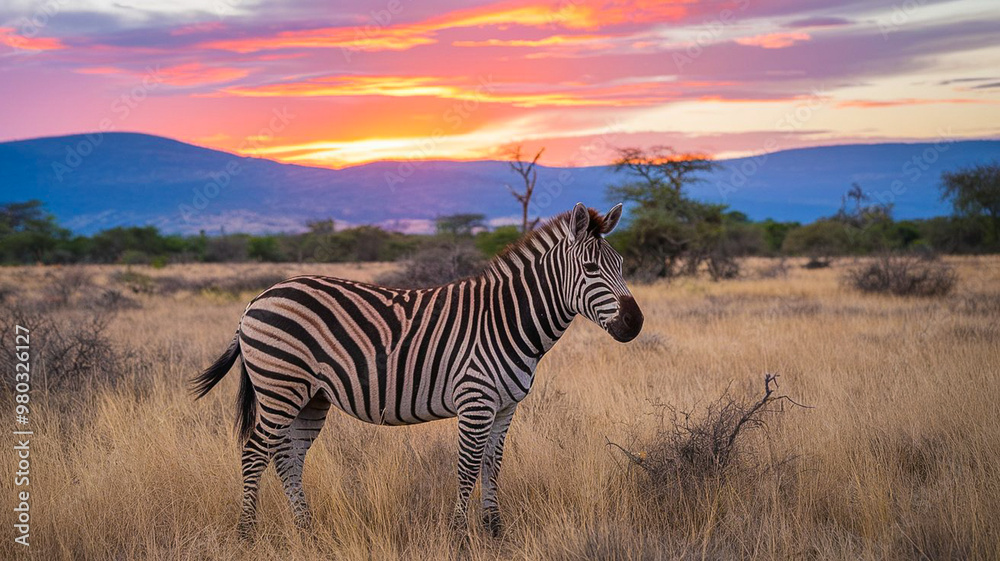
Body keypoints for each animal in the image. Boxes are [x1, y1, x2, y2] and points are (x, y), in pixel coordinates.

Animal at [191, 202, 644, 538]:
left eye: (622, 264)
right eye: (590, 269)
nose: (635, 323)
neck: (506, 320)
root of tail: (258, 298)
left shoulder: (504, 406)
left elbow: (492, 465)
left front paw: (496, 532)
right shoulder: (475, 400)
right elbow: (467, 467)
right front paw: (461, 536)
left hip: (310, 397)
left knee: (288, 457)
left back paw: (308, 532)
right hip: (280, 387)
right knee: (254, 452)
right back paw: (246, 535)